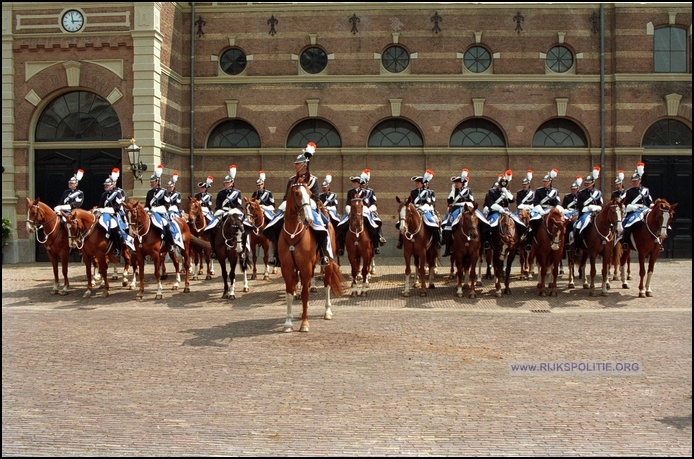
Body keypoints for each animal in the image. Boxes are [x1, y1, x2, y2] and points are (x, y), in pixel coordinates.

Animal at [278, 174, 342, 332]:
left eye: (310, 193)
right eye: (296, 193)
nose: (308, 219)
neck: (293, 234)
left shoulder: (305, 267)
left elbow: (305, 295)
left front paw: (305, 324)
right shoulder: (287, 268)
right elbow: (290, 294)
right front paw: (288, 323)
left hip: (327, 263)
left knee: (327, 285)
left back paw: (327, 312)